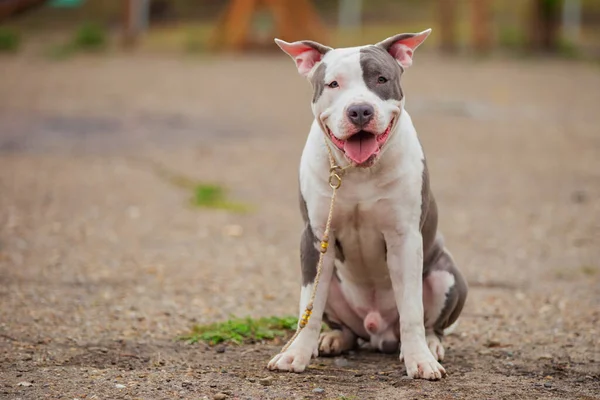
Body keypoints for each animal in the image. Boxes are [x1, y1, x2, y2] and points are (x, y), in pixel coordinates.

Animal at [268, 29, 468, 380]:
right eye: (333, 84)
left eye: (381, 79)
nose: (360, 110)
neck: (359, 171)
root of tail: (378, 332)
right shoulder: (315, 237)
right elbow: (309, 305)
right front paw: (295, 354)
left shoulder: (405, 238)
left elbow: (412, 309)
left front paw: (420, 360)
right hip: (334, 283)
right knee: (342, 323)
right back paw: (333, 338)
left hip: (447, 277)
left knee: (431, 323)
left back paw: (430, 345)